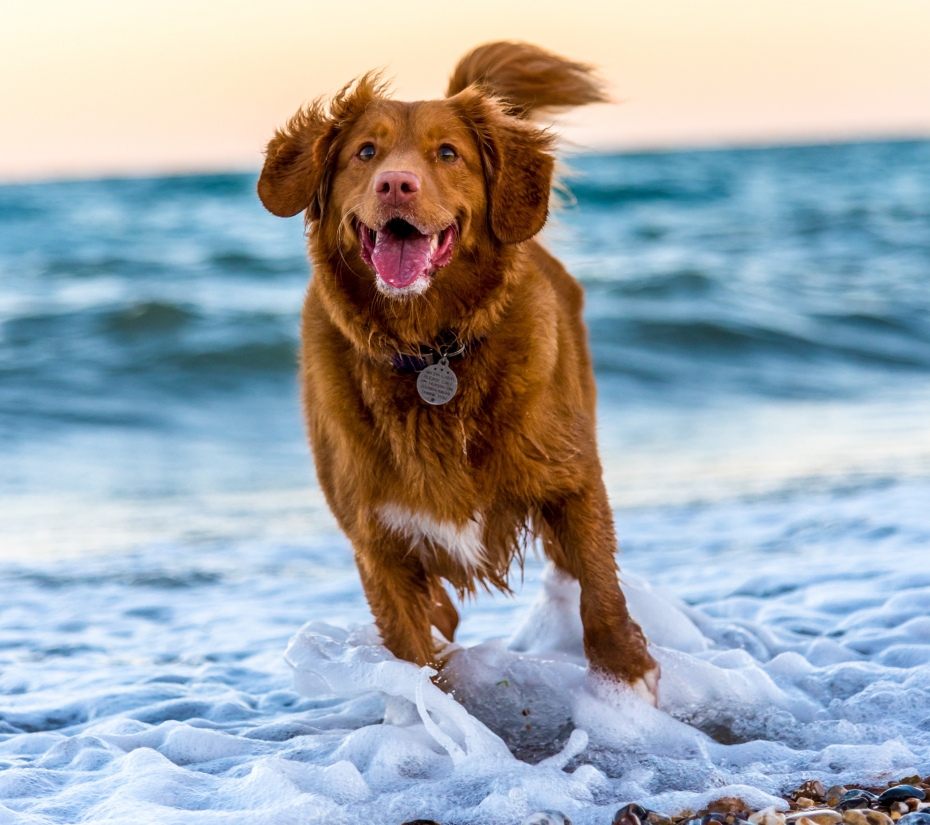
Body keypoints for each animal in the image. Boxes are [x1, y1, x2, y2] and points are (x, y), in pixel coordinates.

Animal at [258, 41, 656, 704]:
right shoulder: (377, 541)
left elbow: (600, 587)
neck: (430, 349)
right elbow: (413, 653)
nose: (396, 183)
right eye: (365, 152)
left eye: (448, 153)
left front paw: (626, 676)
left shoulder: (571, 477)